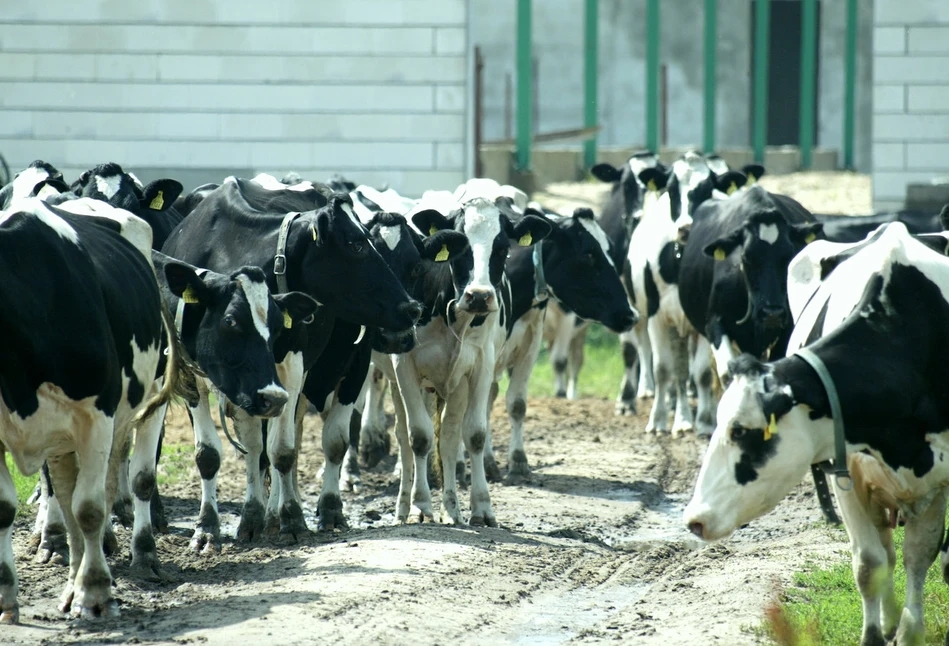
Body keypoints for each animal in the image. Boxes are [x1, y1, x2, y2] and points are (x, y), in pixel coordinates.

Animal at [0, 199, 184, 624]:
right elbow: (11, 508)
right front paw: (7, 600)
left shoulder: (96, 415)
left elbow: (90, 508)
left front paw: (96, 595)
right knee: (66, 491)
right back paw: (74, 577)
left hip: (144, 400)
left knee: (125, 481)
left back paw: (136, 559)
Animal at [161, 176, 420, 540]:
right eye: (356, 244)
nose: (411, 308)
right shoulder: (197, 373)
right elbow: (217, 453)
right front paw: (211, 527)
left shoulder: (303, 367)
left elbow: (291, 449)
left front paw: (299, 517)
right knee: (259, 446)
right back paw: (261, 514)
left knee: (297, 441)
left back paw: (288, 511)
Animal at [680, 223, 948, 646]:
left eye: (740, 430)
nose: (694, 519)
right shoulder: (848, 473)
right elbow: (870, 564)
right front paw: (876, 635)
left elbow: (923, 556)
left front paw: (910, 633)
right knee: (885, 550)